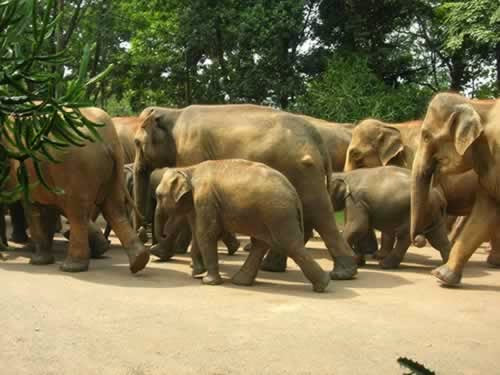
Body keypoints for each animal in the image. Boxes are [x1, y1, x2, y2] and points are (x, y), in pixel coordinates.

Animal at [7, 107, 148, 274]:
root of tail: (109, 141)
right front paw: (43, 258)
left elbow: (33, 208)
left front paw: (37, 261)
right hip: (111, 171)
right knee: (114, 209)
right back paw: (138, 261)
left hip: (78, 168)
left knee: (77, 213)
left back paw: (72, 267)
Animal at [135, 104, 358, 280]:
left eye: (137, 143)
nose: (149, 240)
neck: (173, 112)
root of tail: (316, 139)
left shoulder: (191, 152)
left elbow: (186, 216)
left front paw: (161, 254)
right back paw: (274, 267)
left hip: (302, 171)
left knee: (319, 214)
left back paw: (341, 274)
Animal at [154, 159, 330, 294]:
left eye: (159, 196)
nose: (162, 234)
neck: (189, 169)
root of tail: (294, 194)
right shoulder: (198, 204)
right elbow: (198, 233)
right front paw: (196, 272)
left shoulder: (205, 199)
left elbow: (206, 233)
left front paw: (207, 281)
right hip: (269, 216)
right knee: (261, 244)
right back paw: (240, 281)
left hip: (278, 214)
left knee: (290, 245)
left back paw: (323, 285)